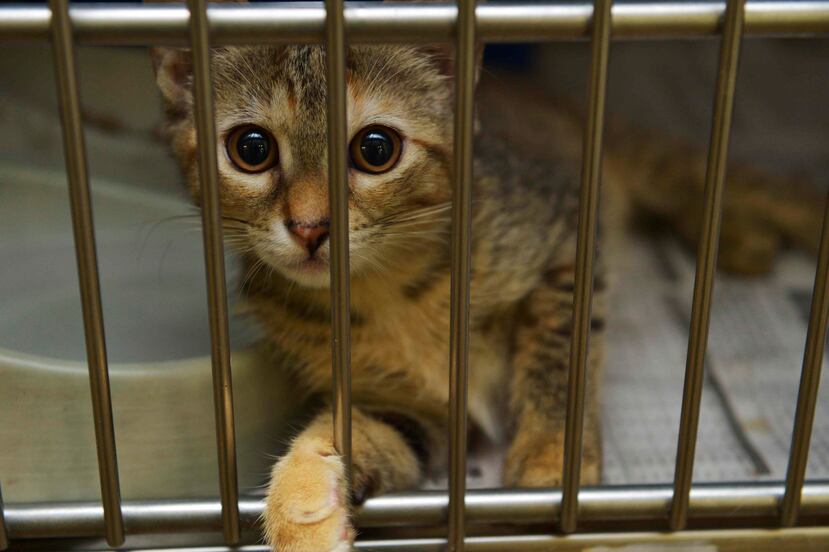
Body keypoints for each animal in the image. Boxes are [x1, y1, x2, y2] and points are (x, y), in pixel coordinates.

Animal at [150, 3, 820, 548]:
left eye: (375, 149)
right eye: (252, 149)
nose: (311, 227)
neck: (387, 288)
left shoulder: (568, 245)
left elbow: (558, 361)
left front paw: (551, 467)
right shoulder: (413, 411)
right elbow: (365, 429)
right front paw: (303, 496)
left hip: (645, 161)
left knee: (729, 183)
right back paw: (745, 241)